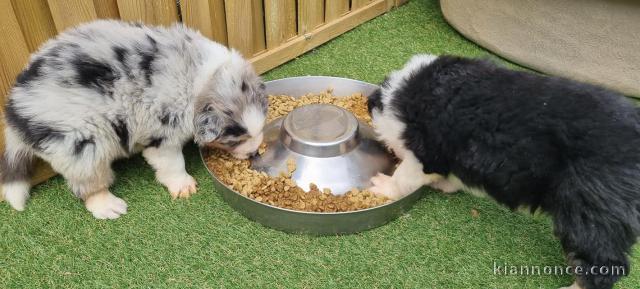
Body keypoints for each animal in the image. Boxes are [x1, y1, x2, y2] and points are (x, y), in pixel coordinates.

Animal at [1, 20, 266, 218]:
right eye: (233, 139)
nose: (254, 153)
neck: (203, 78)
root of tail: (14, 112)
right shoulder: (162, 135)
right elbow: (172, 163)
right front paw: (184, 186)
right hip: (81, 147)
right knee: (88, 185)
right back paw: (108, 206)